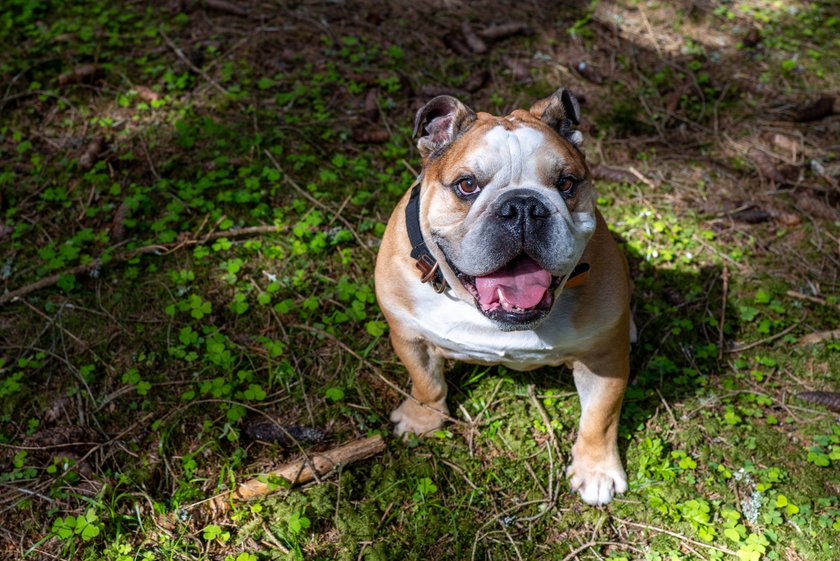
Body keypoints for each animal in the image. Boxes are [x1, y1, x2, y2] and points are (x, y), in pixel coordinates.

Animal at [378, 89, 632, 506]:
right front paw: (421, 420)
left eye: (566, 183)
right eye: (467, 185)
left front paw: (596, 470)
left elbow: (600, 417)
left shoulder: (604, 360)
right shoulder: (409, 335)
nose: (523, 205)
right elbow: (426, 383)